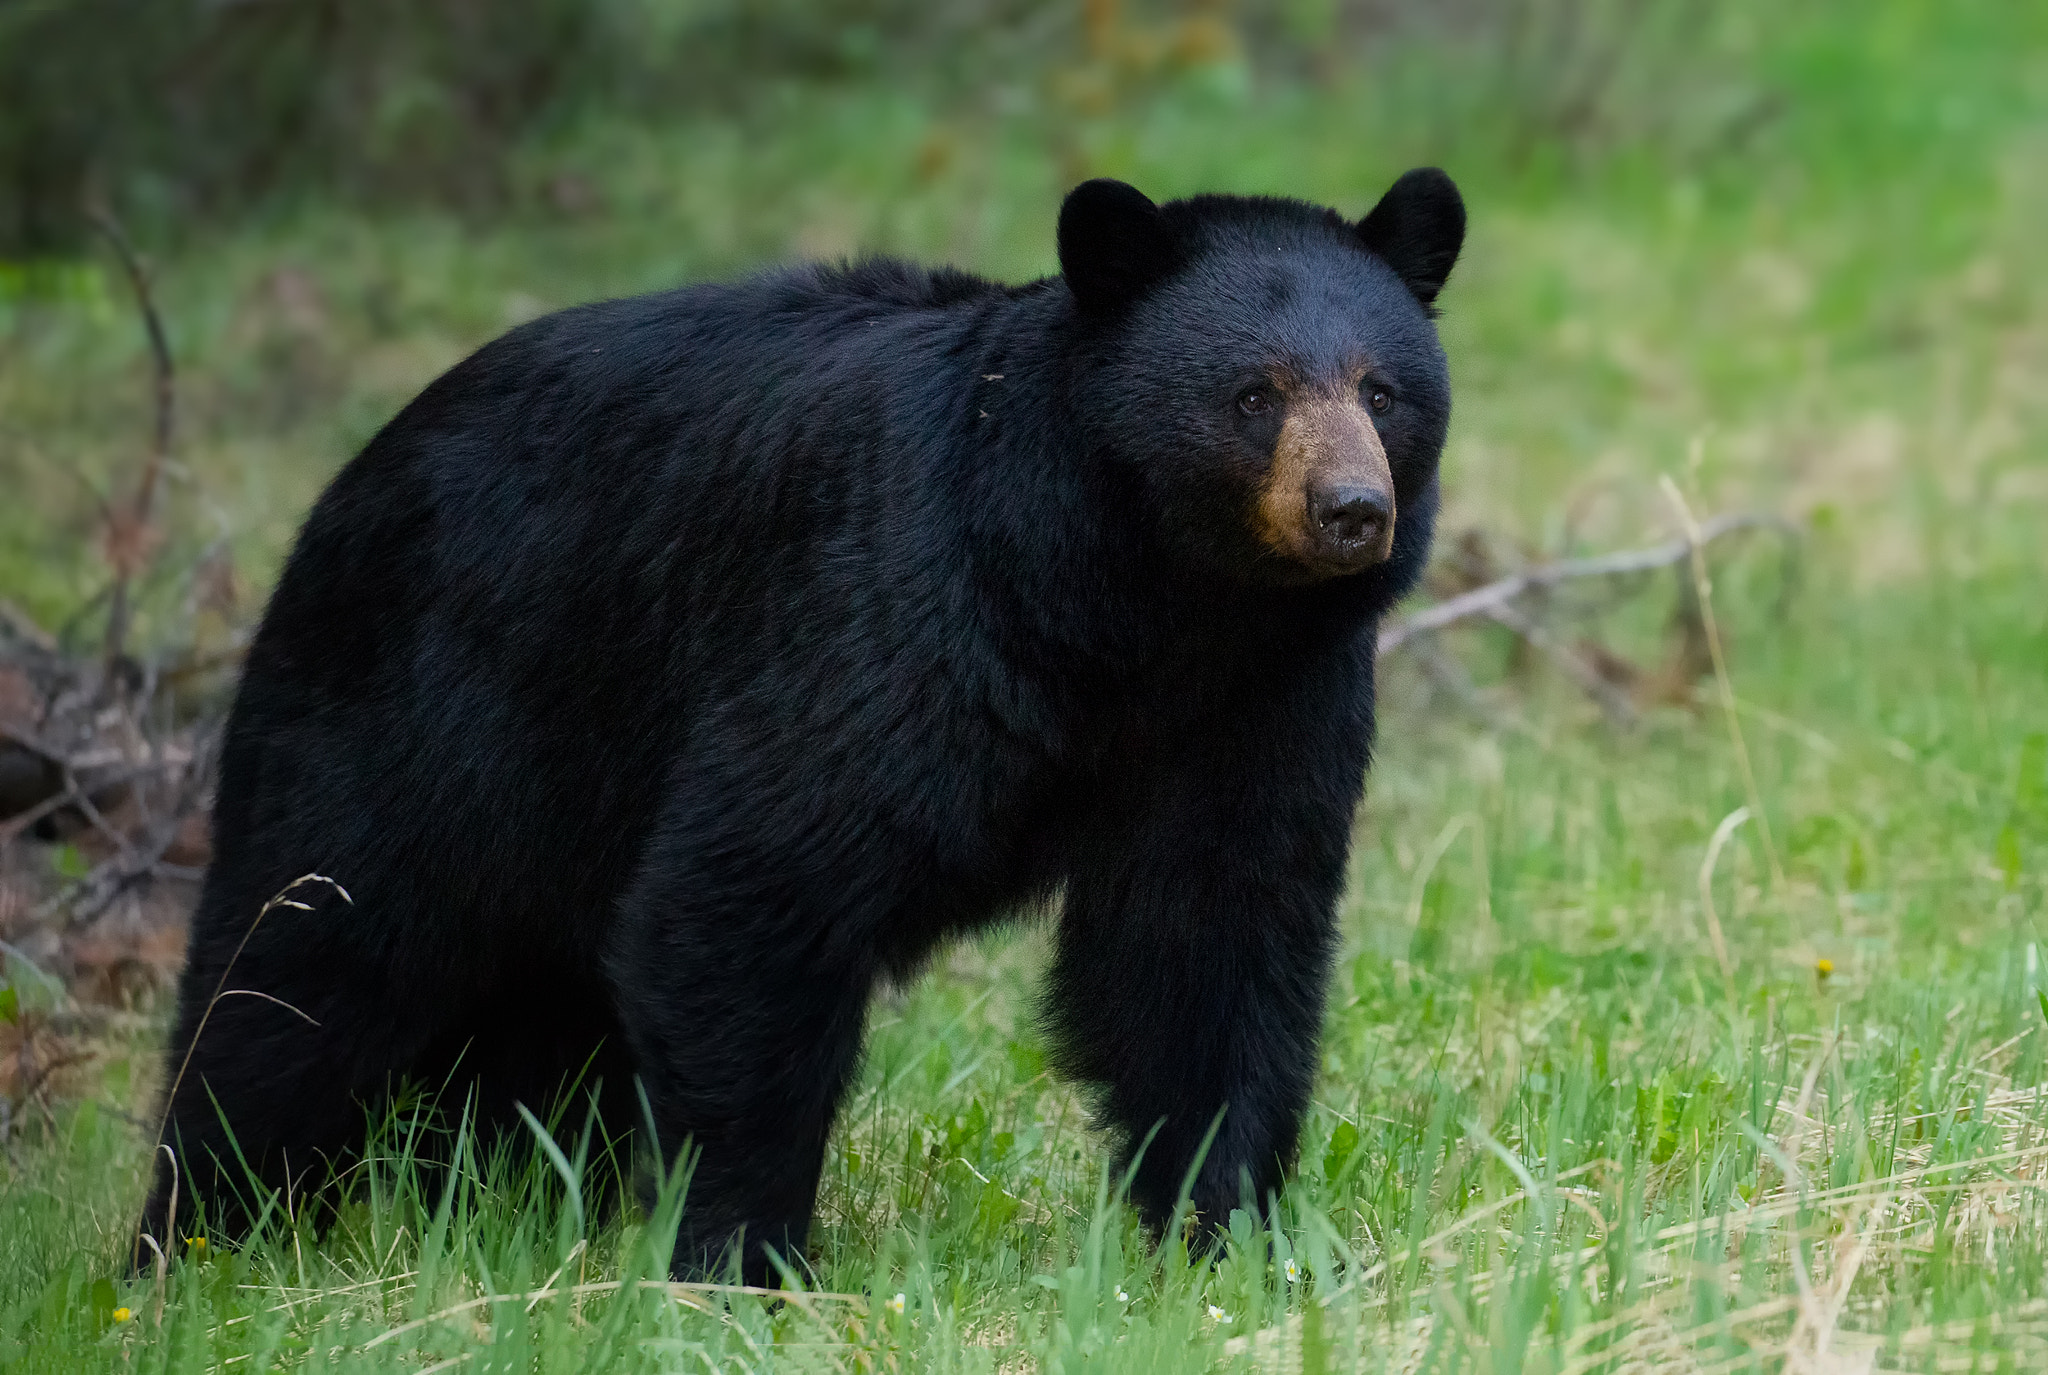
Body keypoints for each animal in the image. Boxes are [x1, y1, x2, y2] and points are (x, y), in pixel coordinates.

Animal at [141, 168, 1465, 1282]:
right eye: (1252, 395)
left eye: (1381, 391)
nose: (1351, 510)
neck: (1142, 608)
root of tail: (350, 476)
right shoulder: (889, 619)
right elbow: (756, 883)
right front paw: (741, 1258)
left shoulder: (1259, 706)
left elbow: (1207, 936)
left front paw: (1231, 1237)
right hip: (415, 709)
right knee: (302, 966)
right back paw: (202, 1238)